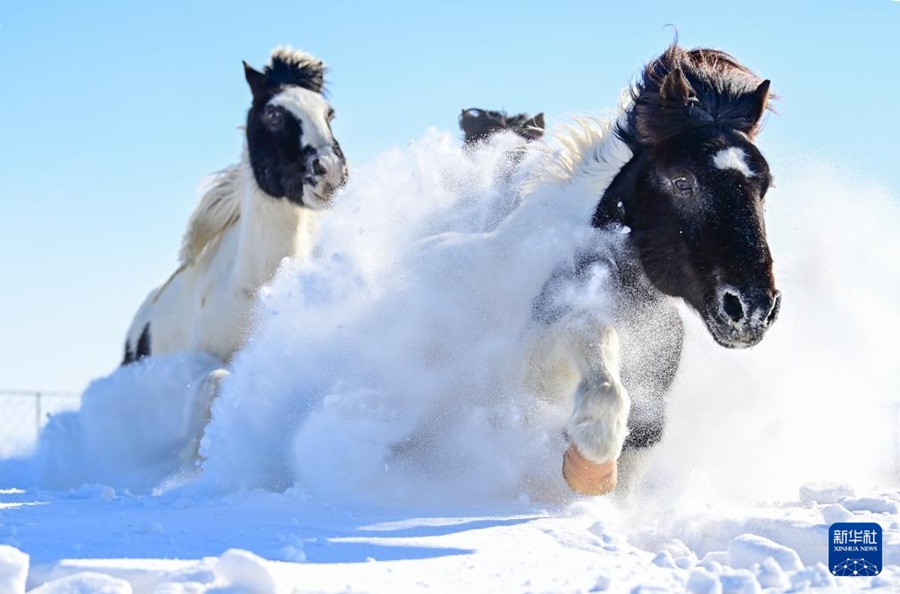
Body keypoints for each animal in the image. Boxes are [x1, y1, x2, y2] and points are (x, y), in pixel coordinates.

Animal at [512, 43, 781, 497]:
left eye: (764, 187)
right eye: (682, 181)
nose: (751, 309)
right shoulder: (533, 363)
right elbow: (594, 344)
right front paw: (590, 463)